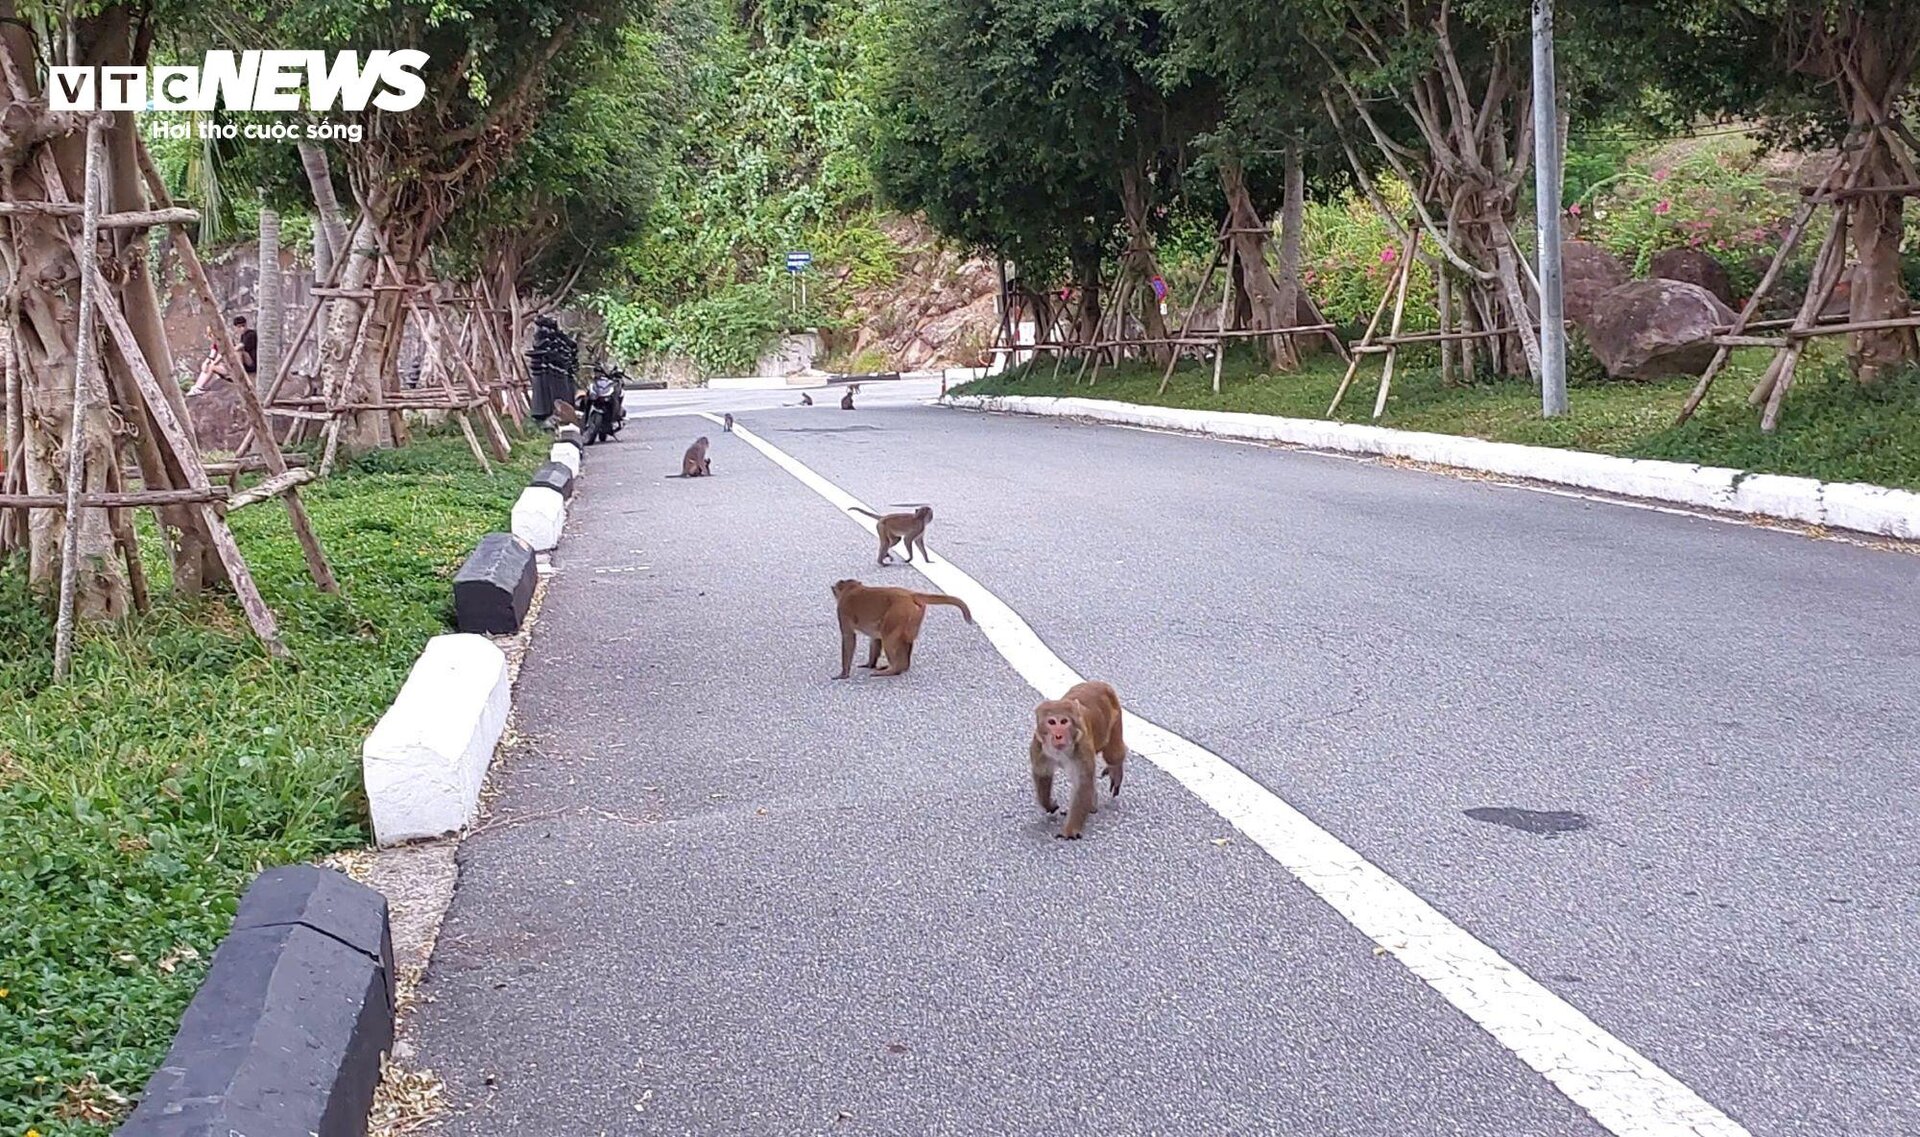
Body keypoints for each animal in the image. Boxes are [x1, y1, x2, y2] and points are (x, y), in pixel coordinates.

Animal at [829, 580, 975, 679]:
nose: (833, 590)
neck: (851, 589)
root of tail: (911, 595)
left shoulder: (842, 610)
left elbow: (848, 638)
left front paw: (843, 674)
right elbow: (875, 639)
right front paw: (870, 664)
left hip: (898, 613)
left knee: (889, 638)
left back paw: (894, 669)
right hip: (913, 616)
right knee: (905, 640)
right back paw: (901, 666)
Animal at [1029, 679, 1128, 841]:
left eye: (1064, 721)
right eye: (1052, 722)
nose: (1058, 735)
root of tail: (1099, 683)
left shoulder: (1082, 746)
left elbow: (1082, 783)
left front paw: (1070, 830)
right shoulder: (1038, 747)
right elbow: (1043, 775)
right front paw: (1048, 804)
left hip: (1114, 718)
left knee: (1113, 755)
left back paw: (1116, 770)